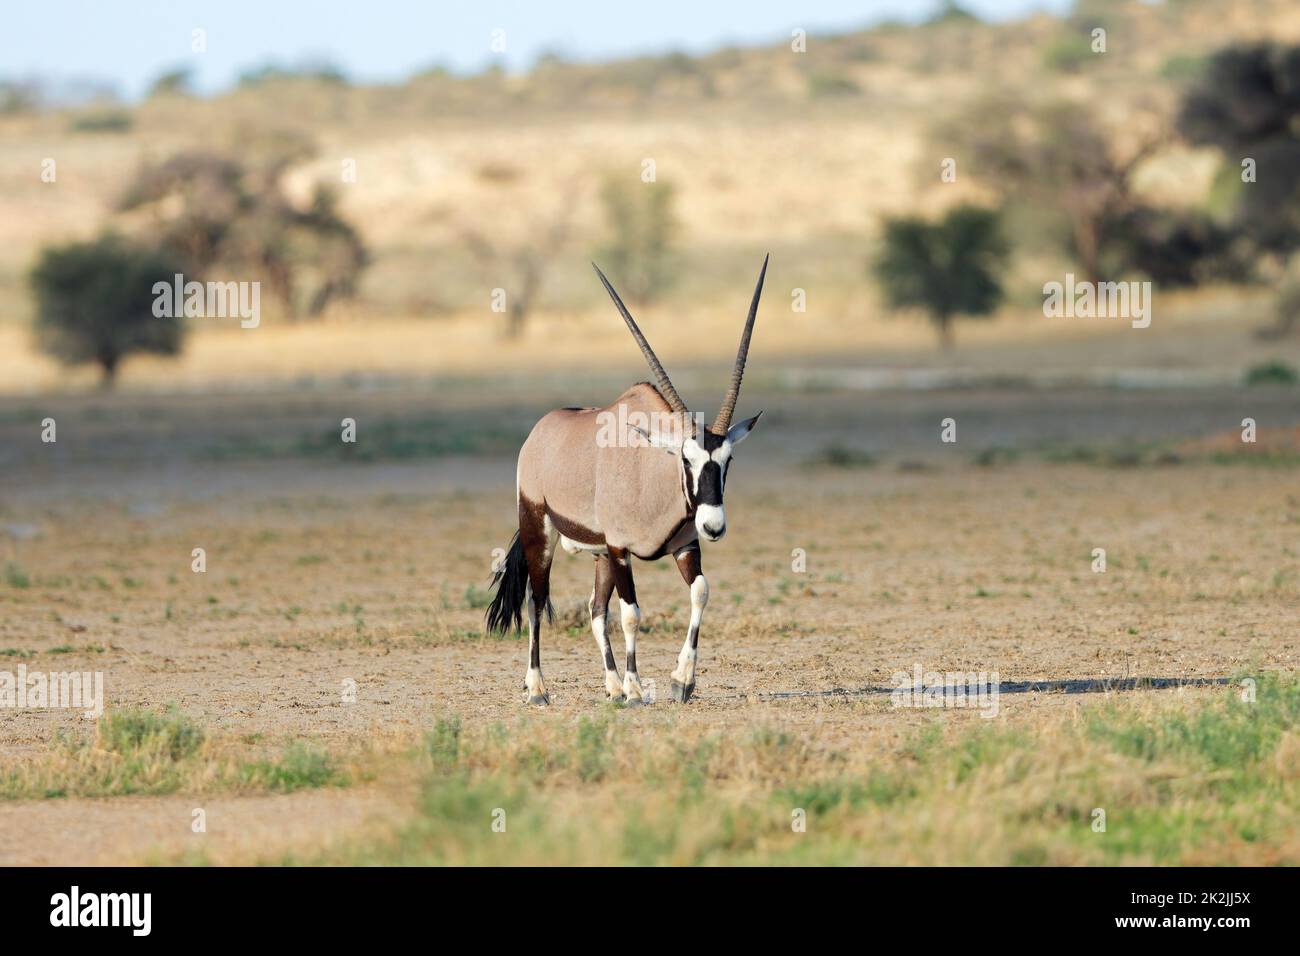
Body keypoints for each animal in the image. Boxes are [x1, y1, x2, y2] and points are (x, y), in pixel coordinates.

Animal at [488, 254, 769, 702]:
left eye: (728, 460)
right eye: (685, 459)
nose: (713, 526)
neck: (652, 471)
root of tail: (540, 432)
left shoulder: (684, 546)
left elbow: (700, 592)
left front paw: (681, 681)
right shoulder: (622, 550)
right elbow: (632, 614)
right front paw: (638, 689)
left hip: (600, 554)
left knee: (594, 609)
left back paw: (611, 686)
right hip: (541, 531)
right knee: (537, 599)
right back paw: (538, 688)